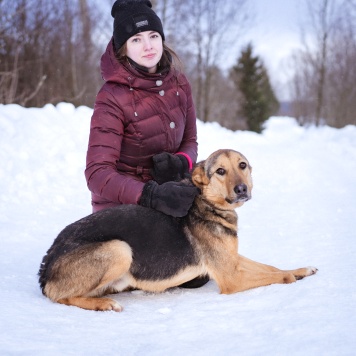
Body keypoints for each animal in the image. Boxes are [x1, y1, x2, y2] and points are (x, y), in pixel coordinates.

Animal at [38, 150, 318, 312]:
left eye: (242, 166)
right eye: (220, 171)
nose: (241, 189)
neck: (207, 203)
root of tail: (45, 266)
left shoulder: (232, 260)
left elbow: (270, 267)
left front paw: (301, 270)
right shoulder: (231, 277)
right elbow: (274, 275)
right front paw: (291, 277)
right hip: (119, 249)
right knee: (60, 296)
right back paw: (103, 304)